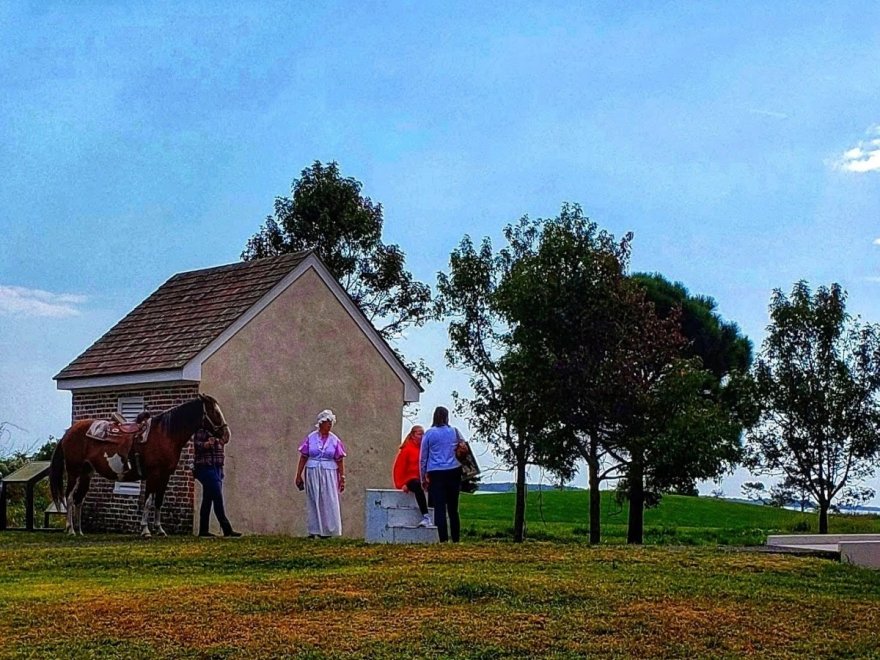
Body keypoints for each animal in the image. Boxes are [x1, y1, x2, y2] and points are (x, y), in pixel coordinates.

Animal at [49, 392, 230, 536]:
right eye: (214, 411)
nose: (226, 434)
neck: (165, 434)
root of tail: (68, 433)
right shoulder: (153, 474)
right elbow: (148, 501)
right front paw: (145, 530)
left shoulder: (165, 475)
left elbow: (159, 501)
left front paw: (160, 530)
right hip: (74, 471)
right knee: (69, 497)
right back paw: (70, 529)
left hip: (87, 473)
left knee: (79, 499)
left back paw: (79, 531)